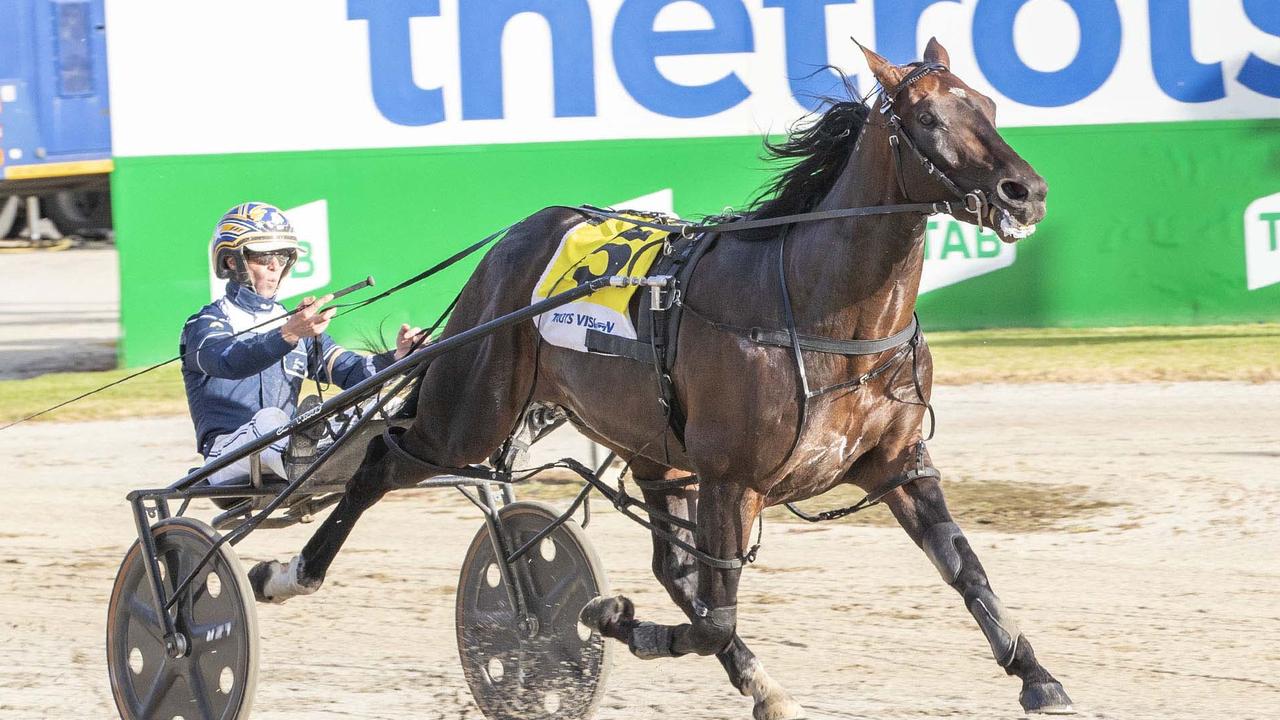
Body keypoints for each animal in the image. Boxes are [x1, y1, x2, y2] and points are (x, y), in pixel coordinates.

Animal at [247, 40, 1070, 717]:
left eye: (989, 105)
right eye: (928, 118)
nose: (1025, 192)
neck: (824, 314)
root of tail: (511, 241)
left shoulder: (896, 463)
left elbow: (966, 568)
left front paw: (1037, 675)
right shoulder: (732, 477)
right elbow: (714, 617)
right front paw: (609, 617)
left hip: (650, 444)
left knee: (671, 566)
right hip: (472, 412)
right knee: (382, 460)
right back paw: (288, 574)